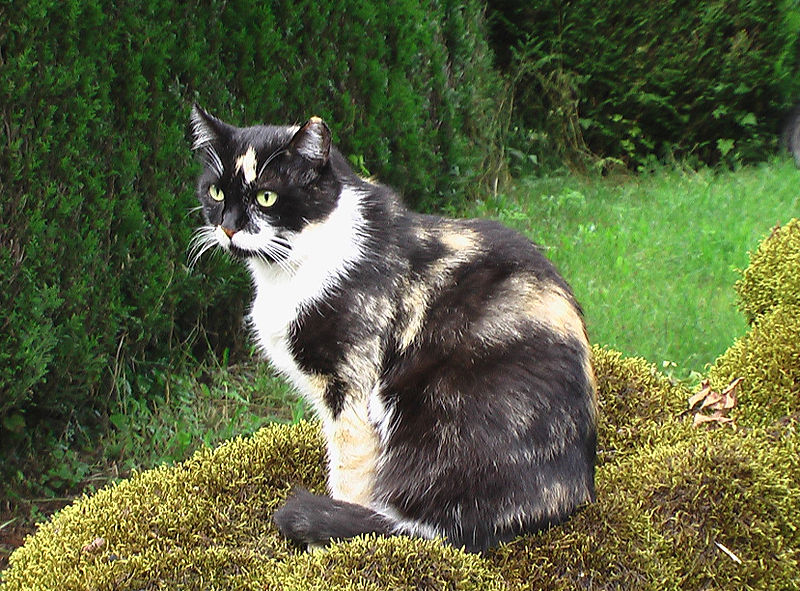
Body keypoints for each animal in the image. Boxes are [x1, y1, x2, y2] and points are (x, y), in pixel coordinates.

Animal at [191, 106, 596, 556]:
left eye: (267, 196)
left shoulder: (351, 390)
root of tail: (568, 491)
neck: (291, 270)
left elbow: (349, 473)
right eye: (216, 193)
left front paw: (331, 547)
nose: (228, 227)